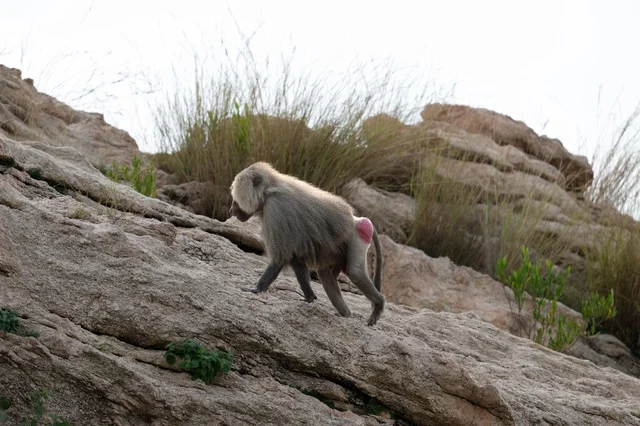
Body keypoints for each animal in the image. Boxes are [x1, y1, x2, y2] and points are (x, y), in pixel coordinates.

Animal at [229, 162, 384, 326]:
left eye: (235, 200)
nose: (231, 210)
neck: (268, 191)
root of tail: (356, 219)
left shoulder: (275, 212)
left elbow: (279, 258)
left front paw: (257, 289)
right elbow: (296, 259)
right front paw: (310, 297)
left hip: (358, 238)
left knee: (354, 271)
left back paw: (378, 306)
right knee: (324, 274)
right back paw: (345, 314)